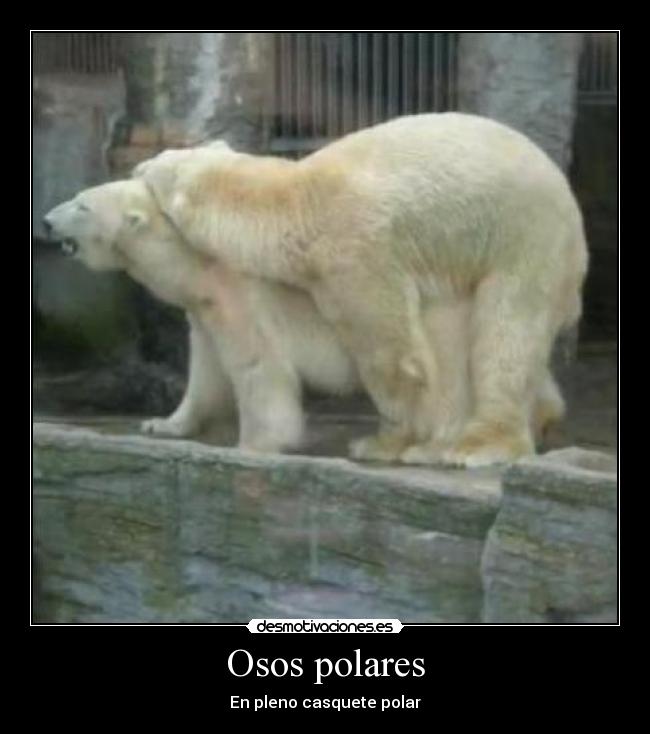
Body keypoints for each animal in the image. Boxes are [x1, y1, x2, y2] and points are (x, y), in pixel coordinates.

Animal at [43, 178, 361, 452]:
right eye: (77, 197)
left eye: (83, 206)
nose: (46, 222)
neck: (199, 261)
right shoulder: (206, 307)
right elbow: (206, 370)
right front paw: (162, 424)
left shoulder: (244, 297)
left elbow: (259, 365)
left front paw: (255, 445)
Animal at [134, 113, 587, 467]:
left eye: (155, 164)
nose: (136, 166)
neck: (298, 202)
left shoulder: (353, 249)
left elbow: (389, 351)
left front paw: (379, 443)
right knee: (456, 331)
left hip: (525, 239)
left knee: (506, 330)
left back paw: (477, 446)